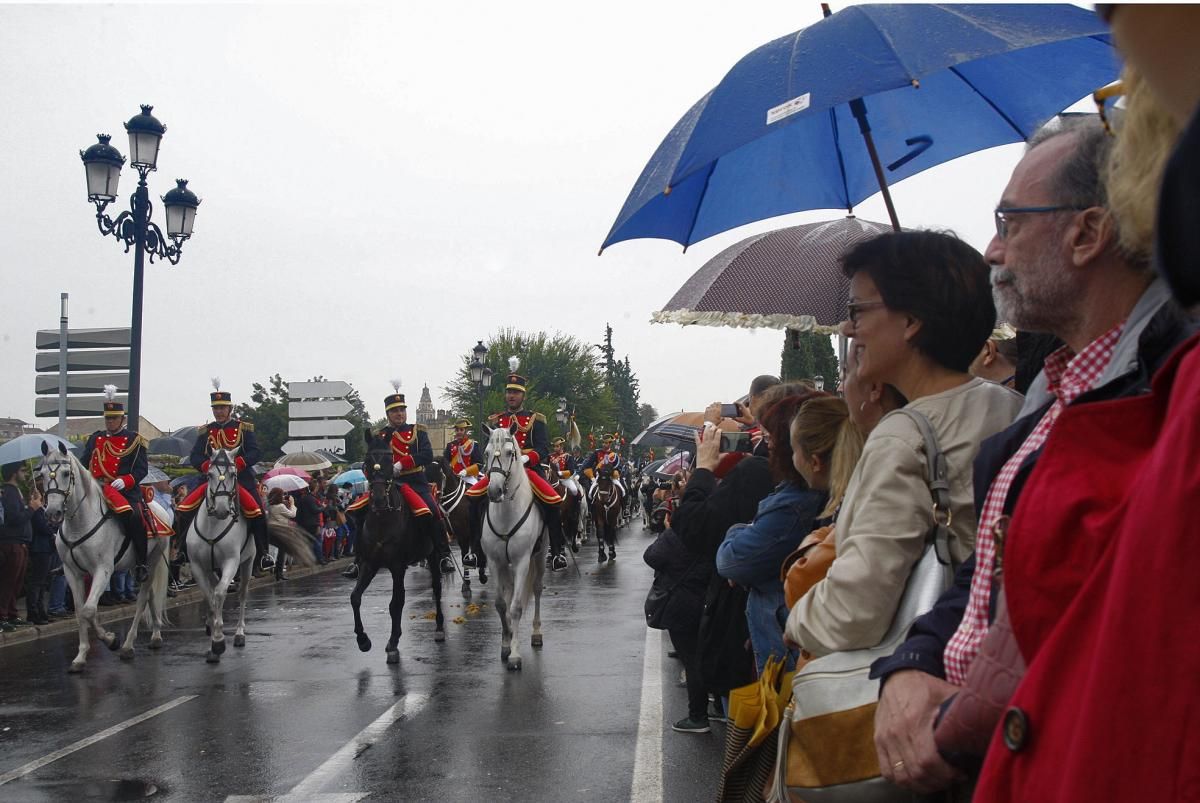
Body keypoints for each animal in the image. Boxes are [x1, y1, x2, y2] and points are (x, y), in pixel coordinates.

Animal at [37, 439, 170, 672]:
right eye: (42, 474)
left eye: (65, 473)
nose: (52, 513)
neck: (80, 522)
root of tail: (158, 507)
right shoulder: (72, 573)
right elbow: (80, 612)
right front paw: (80, 656)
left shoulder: (103, 570)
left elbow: (89, 610)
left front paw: (111, 640)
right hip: (136, 566)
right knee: (151, 595)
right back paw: (155, 635)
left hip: (151, 561)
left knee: (143, 598)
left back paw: (128, 645)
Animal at [183, 448, 254, 662]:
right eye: (209, 475)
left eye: (233, 474)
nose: (222, 510)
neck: (213, 526)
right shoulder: (198, 566)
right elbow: (210, 596)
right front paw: (213, 637)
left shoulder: (231, 562)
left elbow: (220, 593)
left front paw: (218, 641)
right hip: (212, 568)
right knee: (215, 590)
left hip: (248, 561)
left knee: (242, 593)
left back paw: (239, 633)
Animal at [350, 432, 448, 662]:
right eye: (367, 461)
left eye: (389, 460)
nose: (378, 499)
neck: (382, 520)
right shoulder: (369, 564)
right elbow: (355, 598)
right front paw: (363, 640)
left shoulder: (397, 567)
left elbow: (396, 603)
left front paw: (393, 642)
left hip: (434, 555)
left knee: (437, 588)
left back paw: (439, 628)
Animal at [482, 424, 549, 672]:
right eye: (486, 453)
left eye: (511, 453)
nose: (494, 491)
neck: (506, 514)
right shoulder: (494, 561)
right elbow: (502, 604)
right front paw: (506, 643)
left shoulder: (522, 561)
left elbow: (516, 607)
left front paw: (515, 654)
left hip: (540, 555)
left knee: (537, 588)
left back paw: (537, 633)